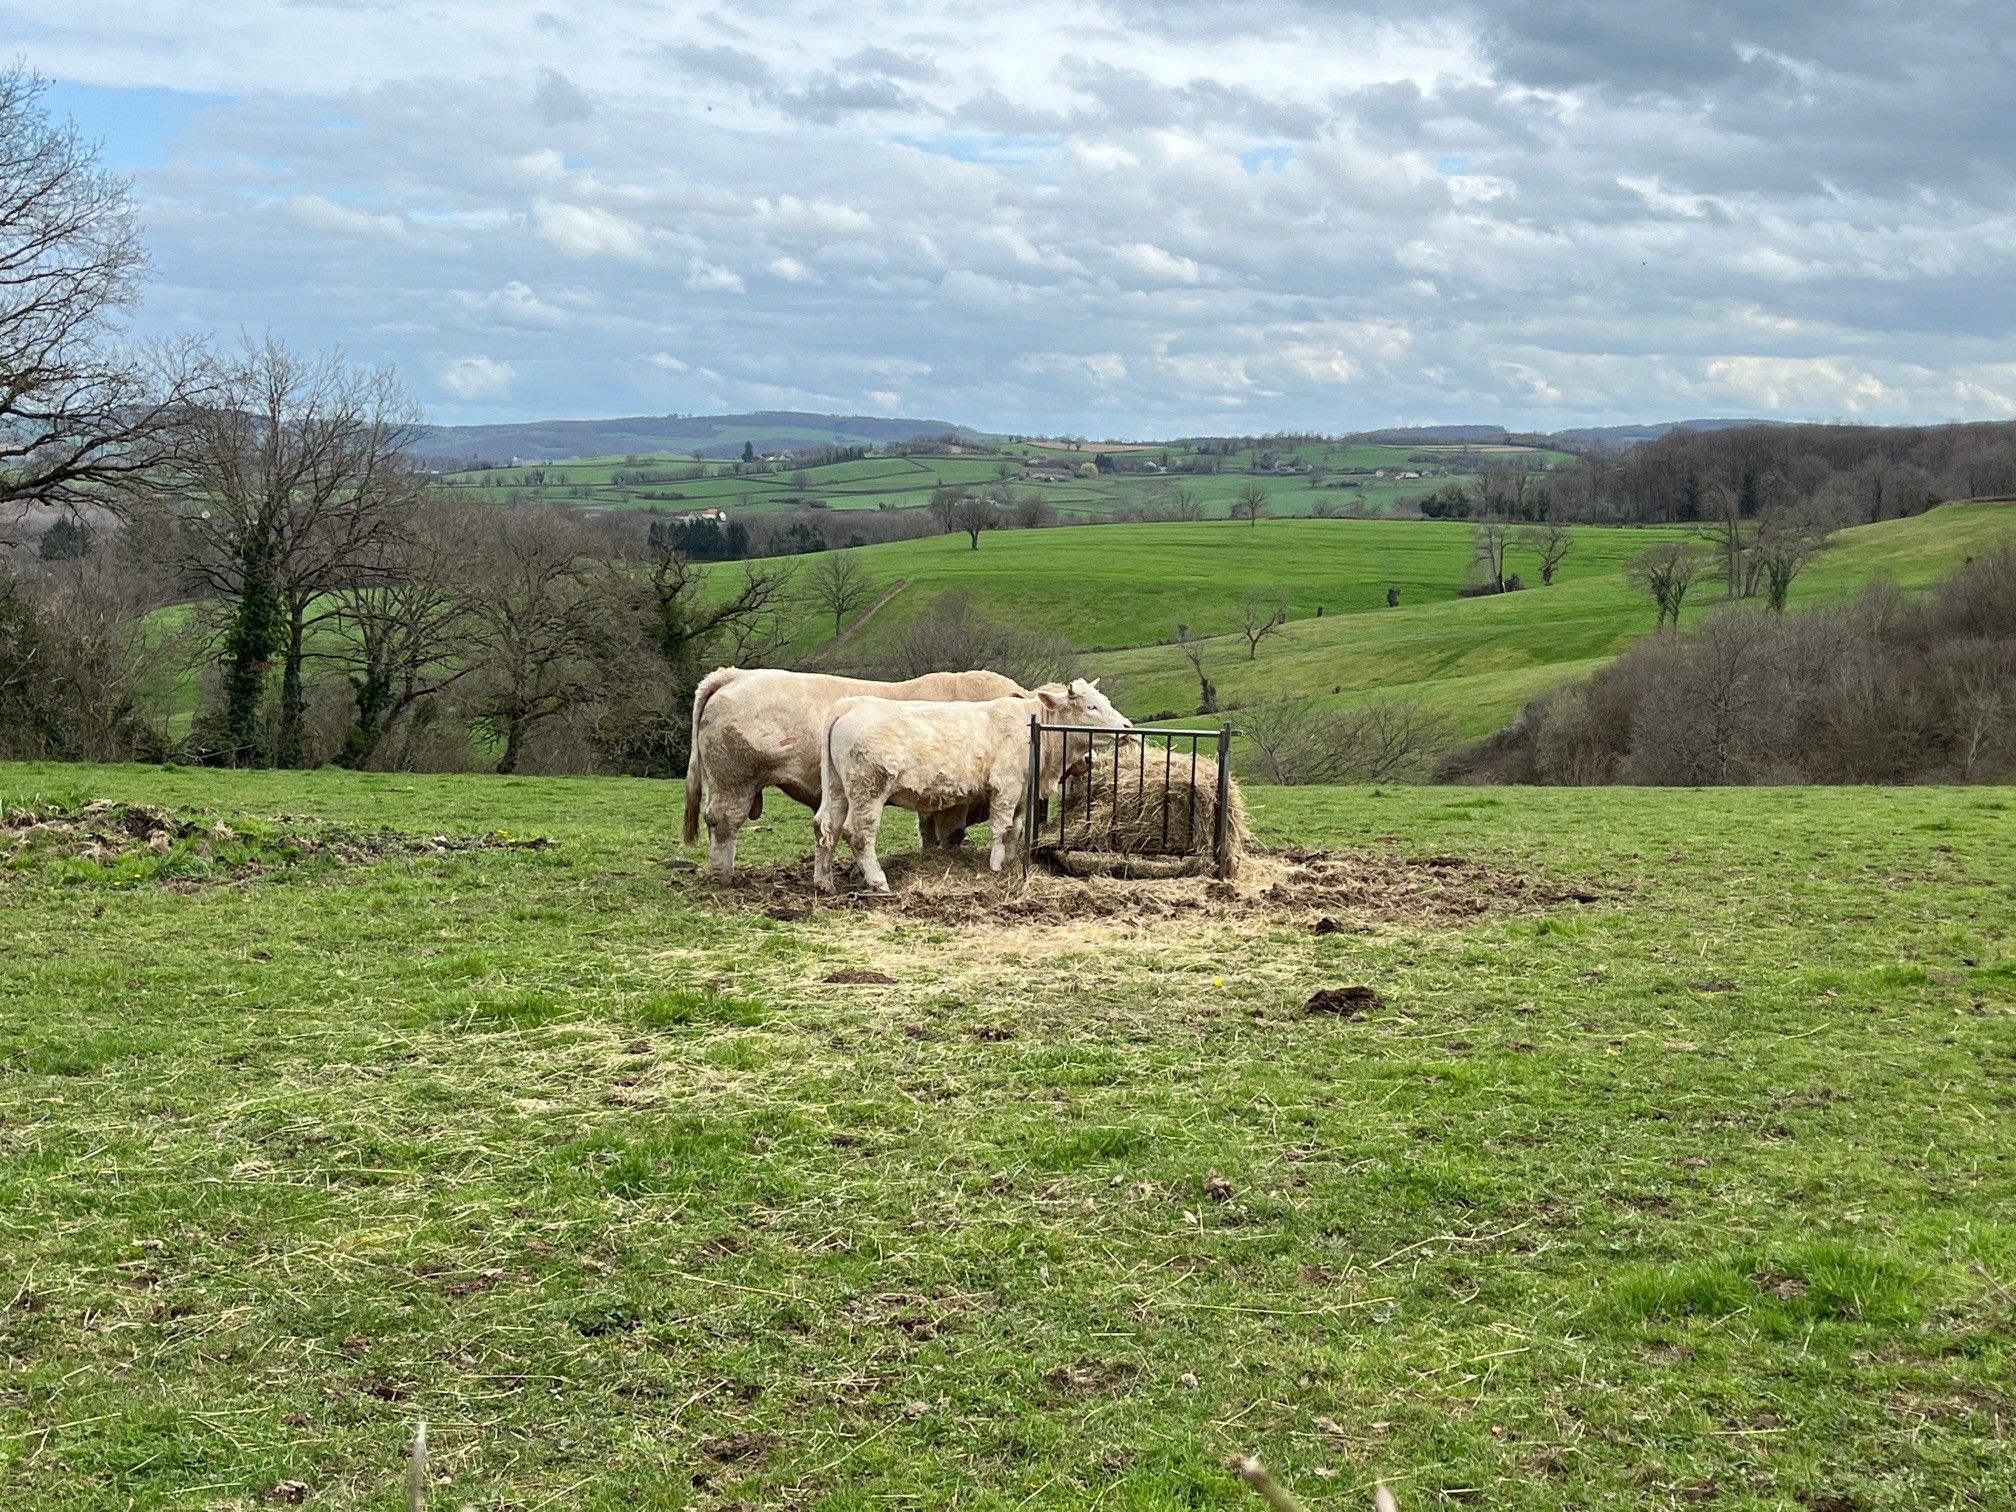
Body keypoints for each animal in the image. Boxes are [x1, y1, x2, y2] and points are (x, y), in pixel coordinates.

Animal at [682, 666, 1024, 881]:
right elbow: (950, 834)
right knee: (723, 822)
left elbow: (928, 833)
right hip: (735, 781)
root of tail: (735, 675)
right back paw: (723, 877)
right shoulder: (954, 801)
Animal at [813, 679, 1129, 894]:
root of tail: (850, 703)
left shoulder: (1022, 792)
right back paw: (878, 882)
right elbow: (1001, 827)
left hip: (839, 789)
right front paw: (996, 866)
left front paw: (1009, 861)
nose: (1126, 727)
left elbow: (1015, 829)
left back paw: (824, 882)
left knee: (826, 827)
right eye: (1091, 706)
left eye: (1105, 700)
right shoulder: (1005, 787)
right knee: (858, 834)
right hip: (868, 790)